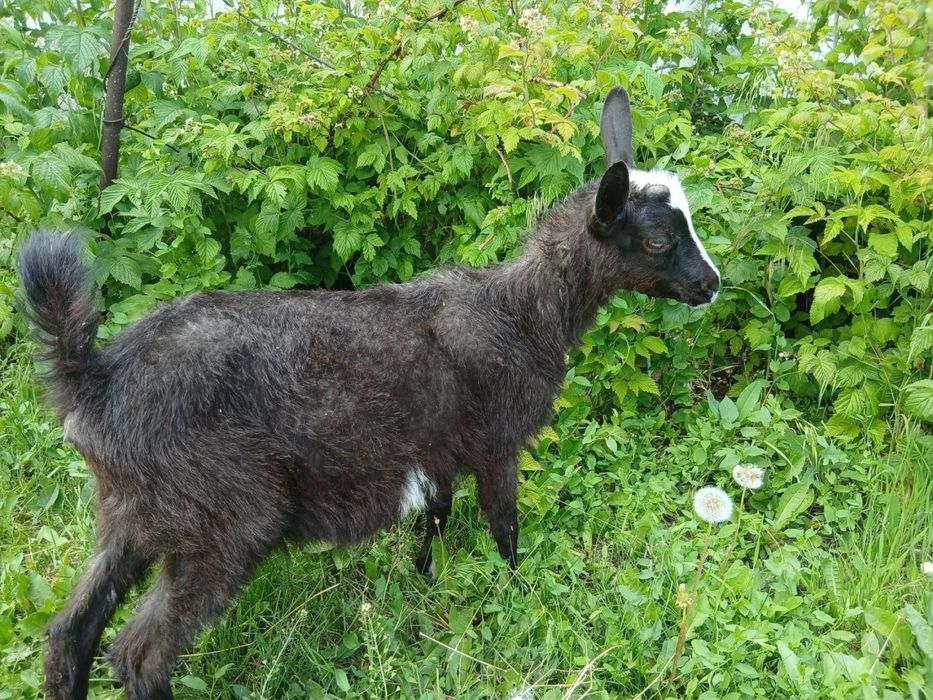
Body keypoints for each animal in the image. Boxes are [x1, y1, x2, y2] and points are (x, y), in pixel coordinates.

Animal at [19, 86, 720, 700]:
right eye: (659, 239)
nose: (710, 285)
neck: (519, 314)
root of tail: (94, 380)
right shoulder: (496, 443)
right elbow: (505, 529)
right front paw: (520, 596)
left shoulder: (438, 448)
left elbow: (435, 521)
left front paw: (427, 585)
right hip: (225, 514)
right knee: (138, 655)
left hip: (132, 513)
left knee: (69, 635)